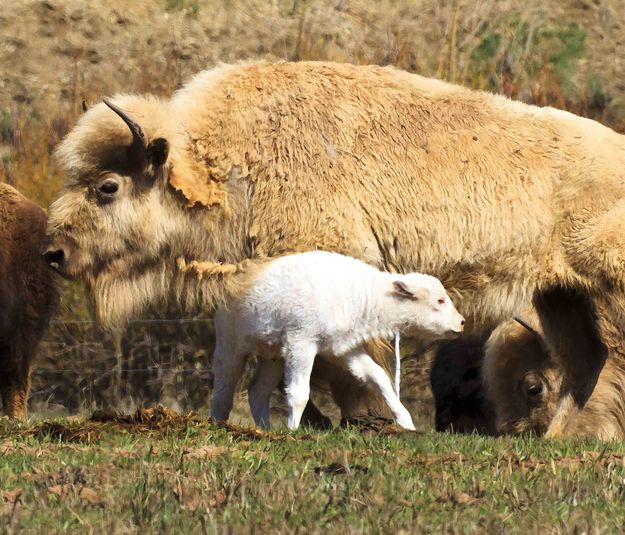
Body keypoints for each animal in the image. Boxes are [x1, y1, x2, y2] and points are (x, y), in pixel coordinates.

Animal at [211, 251, 464, 432]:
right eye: (440, 301)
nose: (461, 323)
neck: (362, 293)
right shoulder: (302, 343)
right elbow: (299, 392)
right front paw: (293, 431)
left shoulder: (344, 349)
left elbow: (378, 377)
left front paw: (406, 423)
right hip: (230, 345)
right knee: (224, 388)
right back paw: (217, 423)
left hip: (272, 356)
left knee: (257, 391)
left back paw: (264, 429)